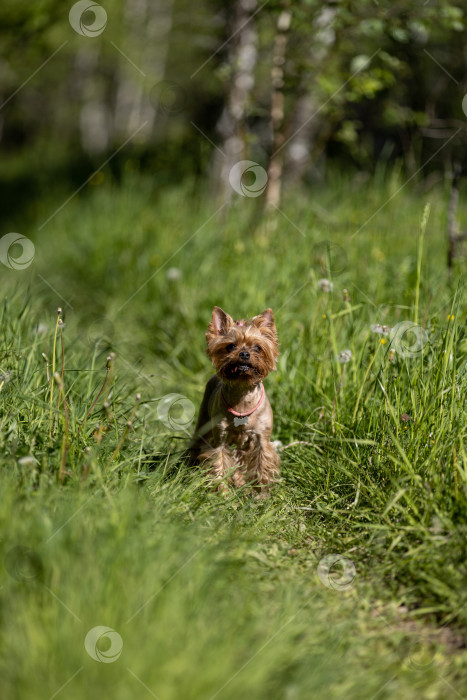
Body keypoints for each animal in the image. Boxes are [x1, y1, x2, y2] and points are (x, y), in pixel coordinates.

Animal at [188, 306, 280, 492]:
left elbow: (262, 465)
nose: (244, 353)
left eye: (258, 348)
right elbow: (219, 463)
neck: (243, 395)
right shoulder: (220, 440)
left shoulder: (262, 440)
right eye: (230, 346)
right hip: (203, 422)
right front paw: (223, 493)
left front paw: (260, 493)